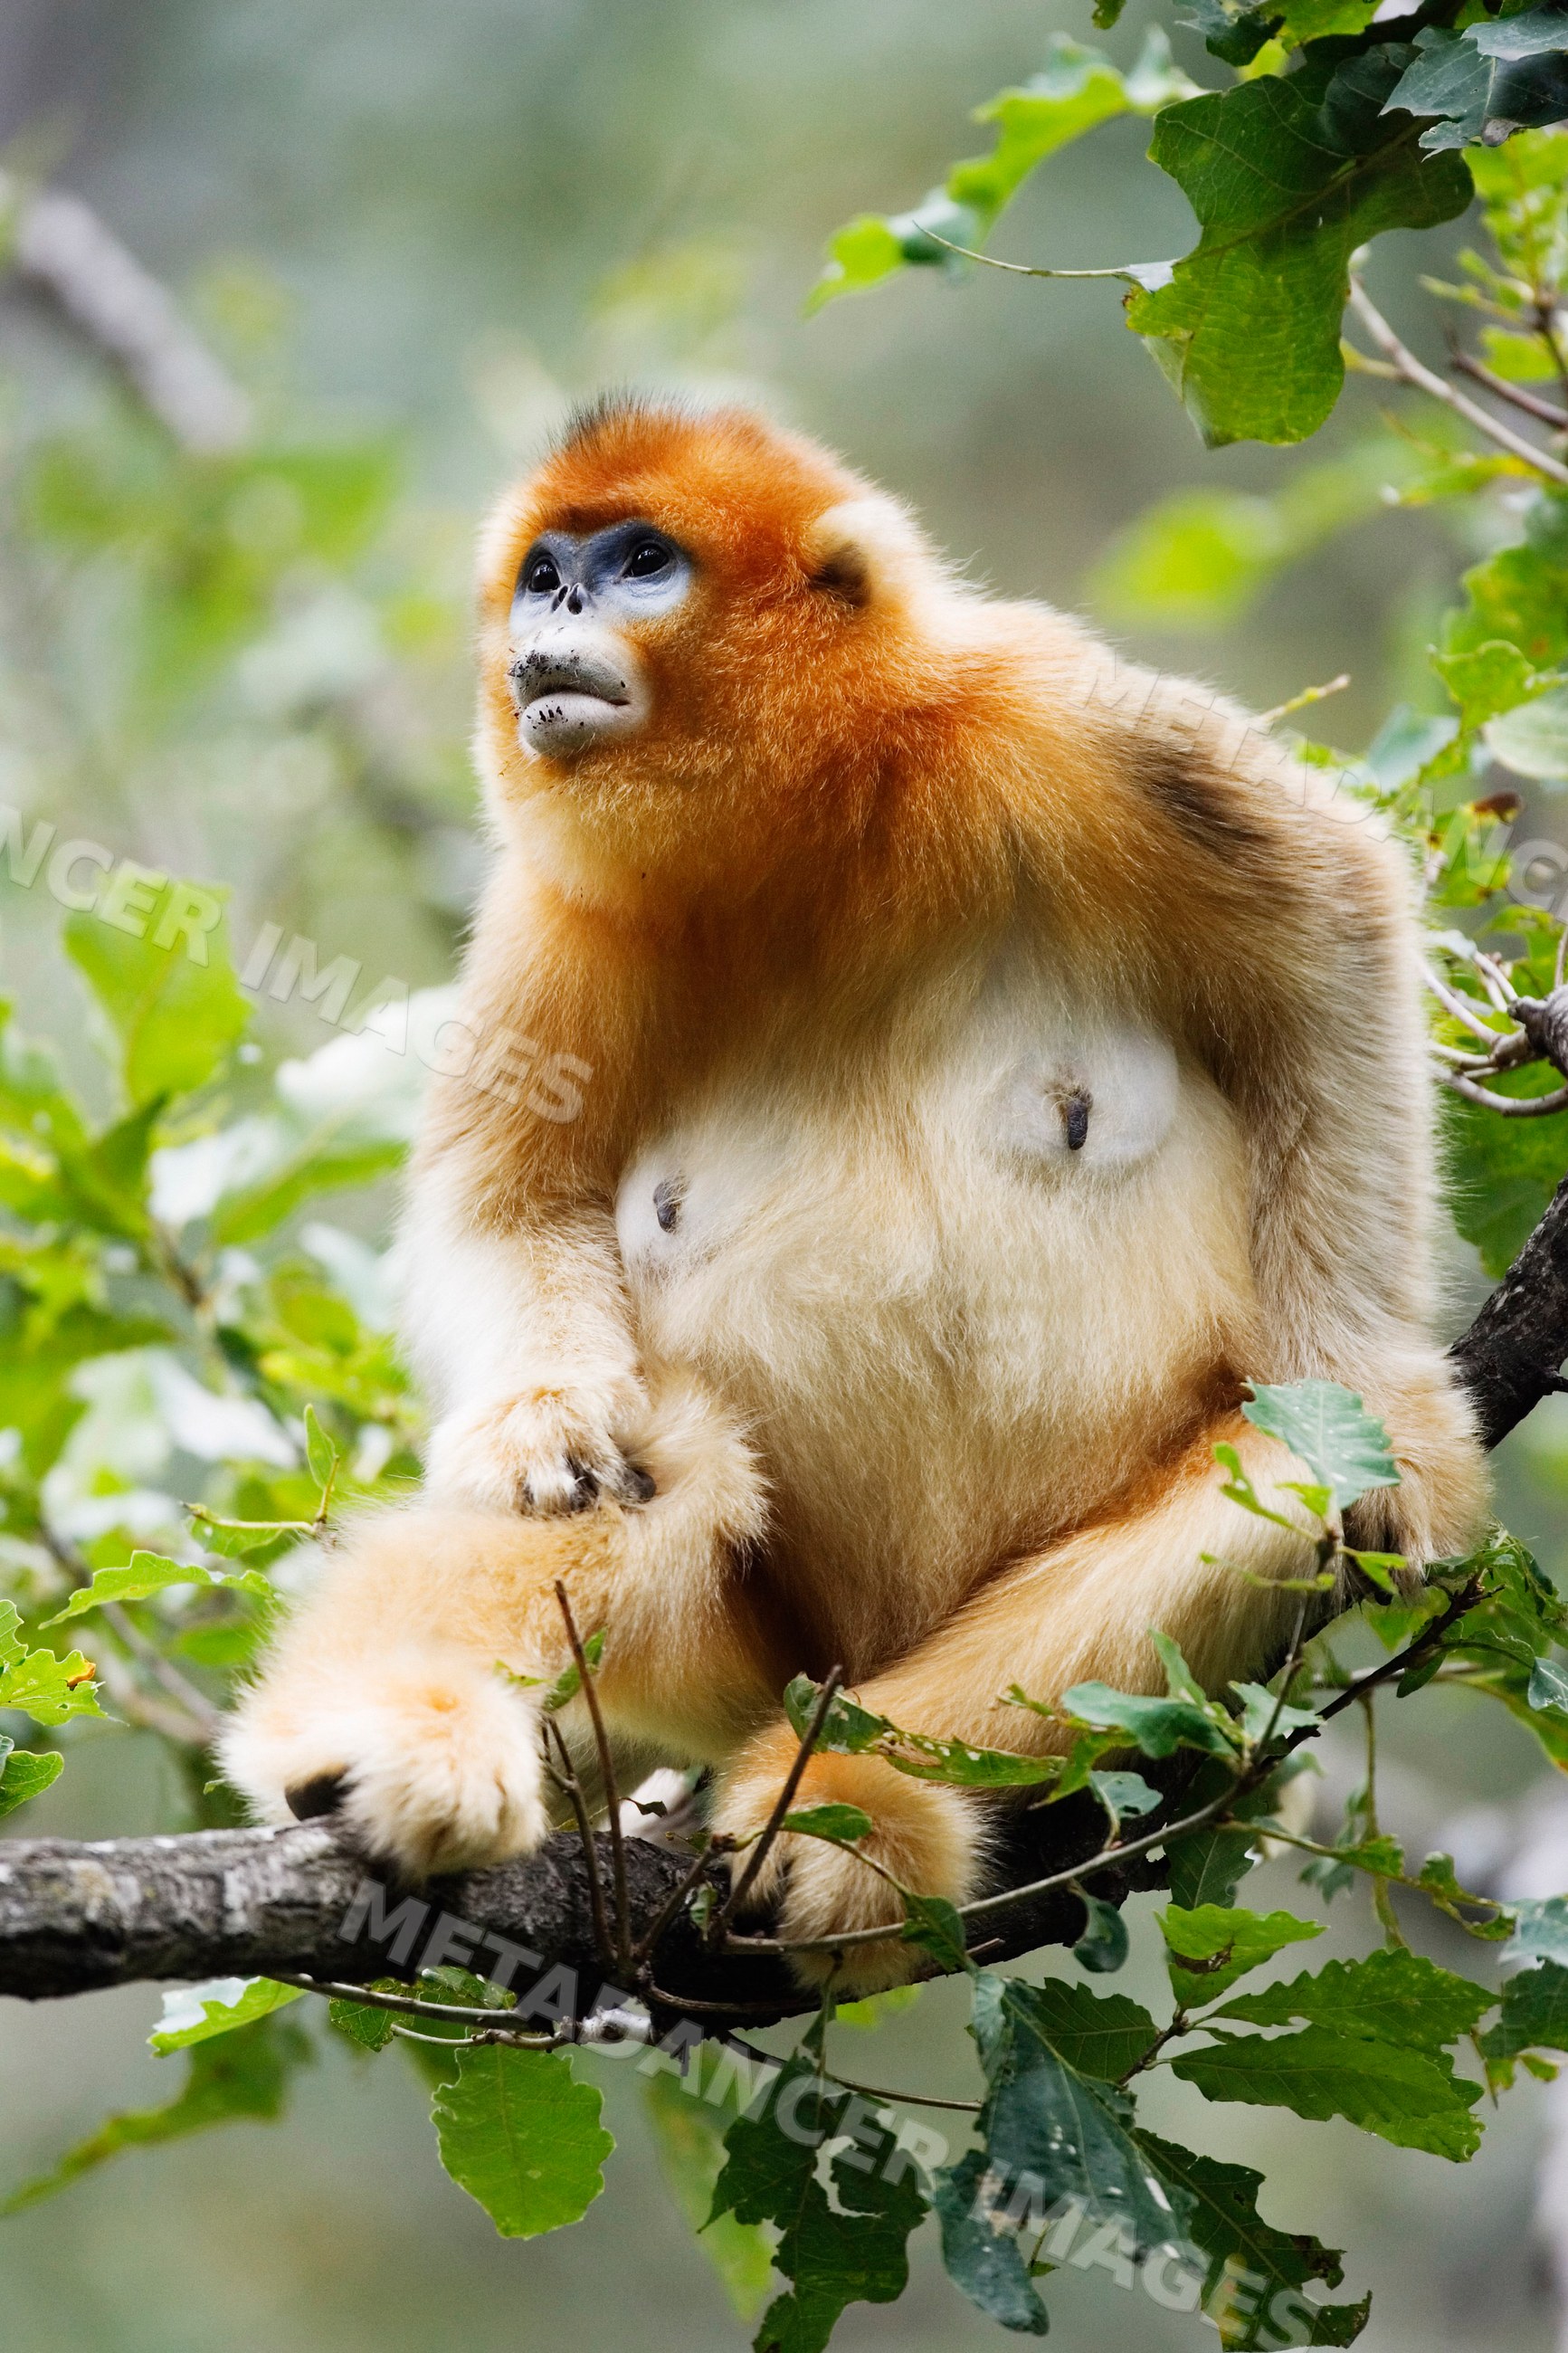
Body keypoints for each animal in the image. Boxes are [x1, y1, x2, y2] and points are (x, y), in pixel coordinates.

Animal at [221, 397, 1488, 1989]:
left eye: (639, 563)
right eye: (543, 574)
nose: (554, 615)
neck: (818, 824)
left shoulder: (1053, 715)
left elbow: (1335, 918)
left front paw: (1369, 1374)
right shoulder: (558, 903)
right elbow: (506, 1203)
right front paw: (539, 1425)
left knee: (1288, 1475)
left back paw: (854, 1805)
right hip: (753, 1646)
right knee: (666, 1462)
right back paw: (394, 1740)